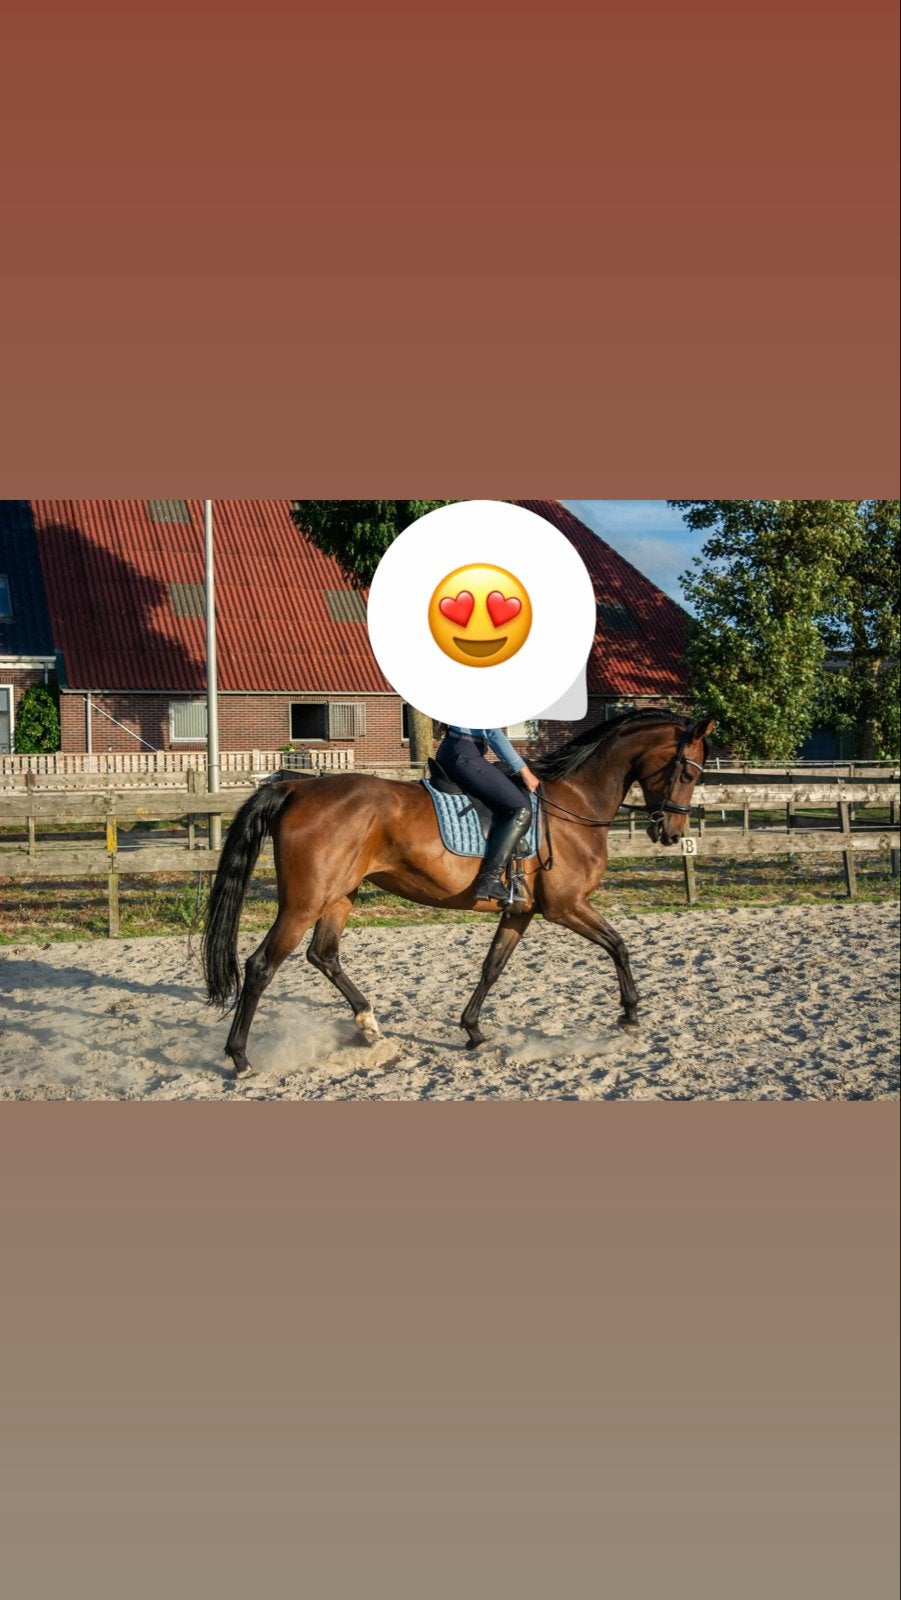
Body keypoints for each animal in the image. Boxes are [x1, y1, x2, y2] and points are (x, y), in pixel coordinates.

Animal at [202, 709, 714, 1077]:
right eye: (689, 774)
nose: (670, 833)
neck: (574, 804)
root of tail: (295, 787)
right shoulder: (566, 906)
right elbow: (619, 945)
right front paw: (630, 1015)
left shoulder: (520, 912)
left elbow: (492, 967)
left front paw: (473, 1032)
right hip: (305, 902)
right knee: (262, 965)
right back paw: (240, 1058)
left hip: (340, 896)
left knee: (323, 955)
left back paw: (369, 1025)